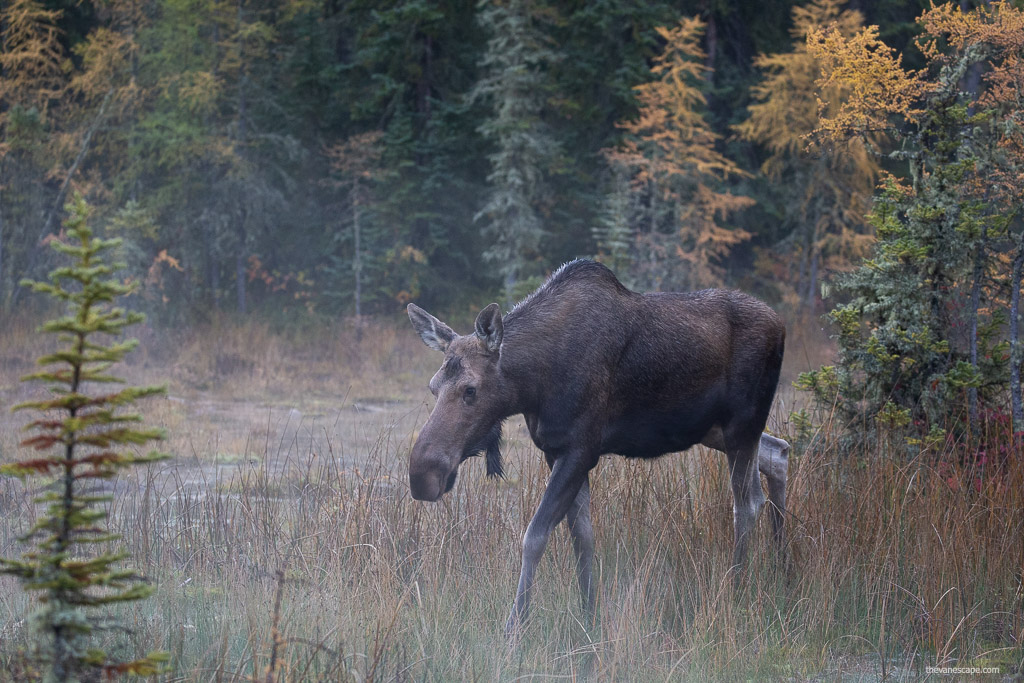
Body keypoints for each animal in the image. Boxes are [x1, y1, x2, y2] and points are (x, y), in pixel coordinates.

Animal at [407, 259, 790, 634]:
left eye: (470, 389)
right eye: (432, 386)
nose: (422, 475)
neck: (533, 385)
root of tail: (781, 326)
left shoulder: (581, 449)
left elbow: (535, 536)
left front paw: (515, 630)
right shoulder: (556, 450)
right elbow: (582, 537)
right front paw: (590, 617)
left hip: (742, 423)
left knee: (748, 502)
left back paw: (737, 588)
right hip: (716, 429)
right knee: (779, 452)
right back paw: (781, 566)